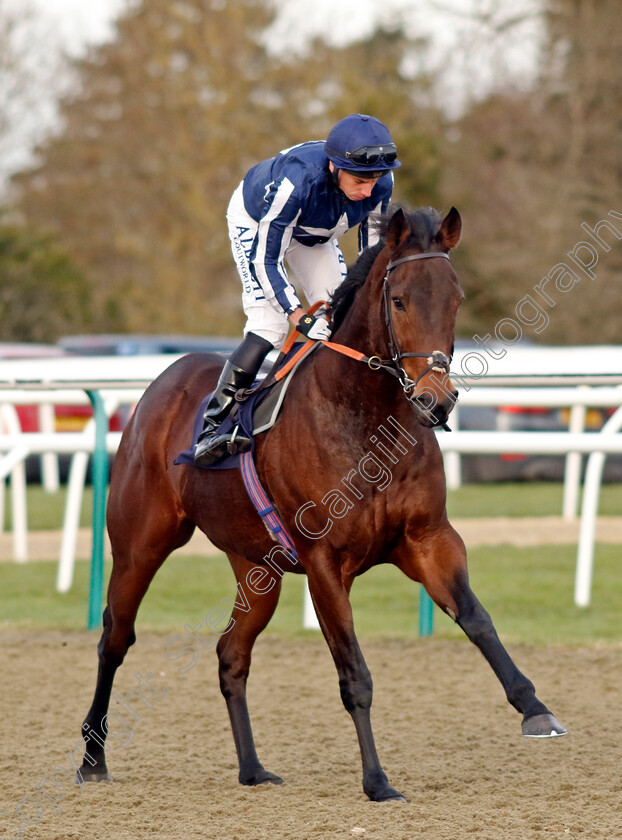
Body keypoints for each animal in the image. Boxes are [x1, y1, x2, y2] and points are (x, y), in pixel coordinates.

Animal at [80, 207, 568, 804]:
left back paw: (252, 768)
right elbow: (354, 674)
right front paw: (378, 781)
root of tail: (164, 381)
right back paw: (93, 759)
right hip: (139, 546)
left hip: (257, 570)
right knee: (115, 638)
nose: (437, 400)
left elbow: (478, 619)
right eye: (399, 299)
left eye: (456, 297)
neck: (363, 418)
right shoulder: (324, 561)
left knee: (230, 654)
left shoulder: (429, 539)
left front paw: (535, 708)